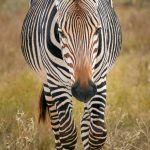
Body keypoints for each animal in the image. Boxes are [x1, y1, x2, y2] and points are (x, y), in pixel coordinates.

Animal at [21, 0, 122, 149]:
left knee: (85, 124)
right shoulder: (56, 82)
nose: (84, 90)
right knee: (57, 125)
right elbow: (67, 134)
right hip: (47, 82)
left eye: (98, 30)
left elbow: (97, 134)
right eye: (61, 32)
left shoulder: (99, 80)